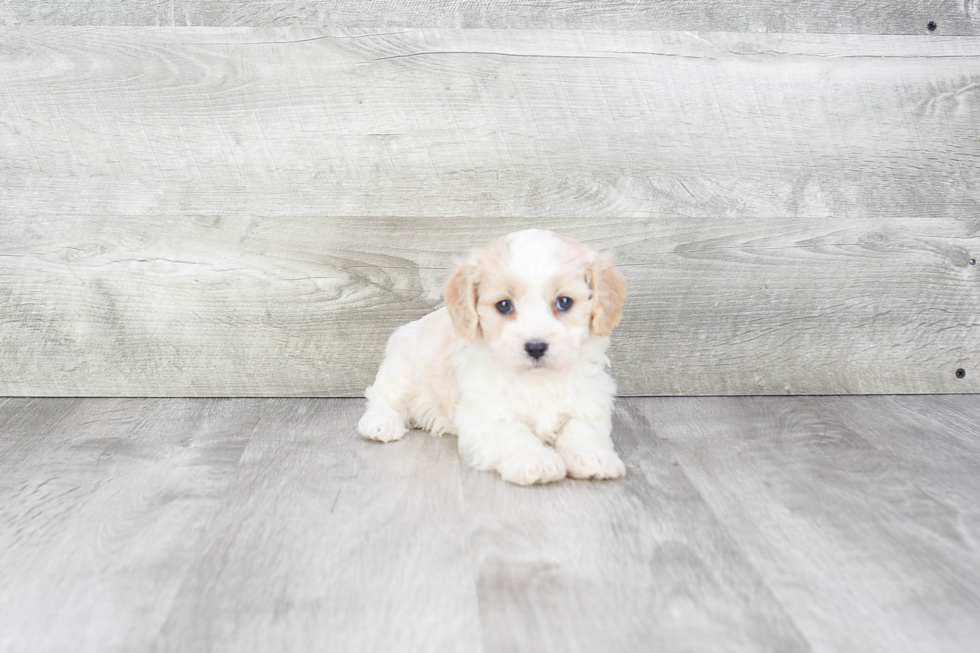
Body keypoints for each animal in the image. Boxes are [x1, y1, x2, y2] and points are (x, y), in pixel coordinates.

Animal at [358, 229, 628, 484]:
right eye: (504, 305)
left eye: (564, 302)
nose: (536, 347)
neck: (537, 380)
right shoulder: (486, 415)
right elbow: (514, 435)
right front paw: (535, 461)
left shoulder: (588, 402)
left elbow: (583, 430)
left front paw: (593, 458)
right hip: (401, 368)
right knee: (384, 397)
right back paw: (381, 423)